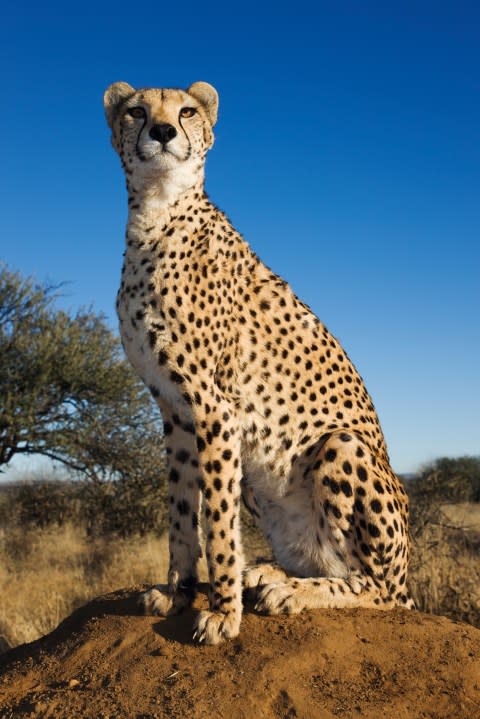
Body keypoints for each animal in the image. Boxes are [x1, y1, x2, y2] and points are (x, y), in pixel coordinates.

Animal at [104, 80, 412, 648]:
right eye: (136, 110)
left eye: (186, 111)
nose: (163, 131)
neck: (156, 215)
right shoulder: (174, 412)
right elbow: (182, 513)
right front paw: (178, 592)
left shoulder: (215, 410)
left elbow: (219, 526)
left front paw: (223, 614)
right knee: (329, 563)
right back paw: (272, 573)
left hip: (339, 445)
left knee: (377, 589)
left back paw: (292, 592)